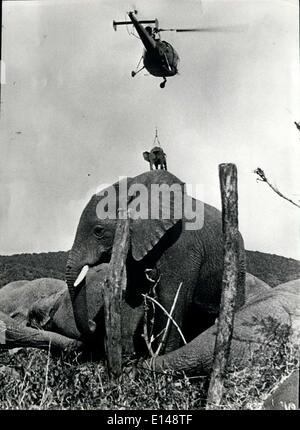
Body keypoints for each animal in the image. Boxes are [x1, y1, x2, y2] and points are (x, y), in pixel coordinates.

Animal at [65, 169, 246, 352]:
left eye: (98, 231)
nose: (93, 324)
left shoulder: (181, 244)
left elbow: (171, 298)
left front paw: (162, 356)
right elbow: (135, 294)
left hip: (237, 266)